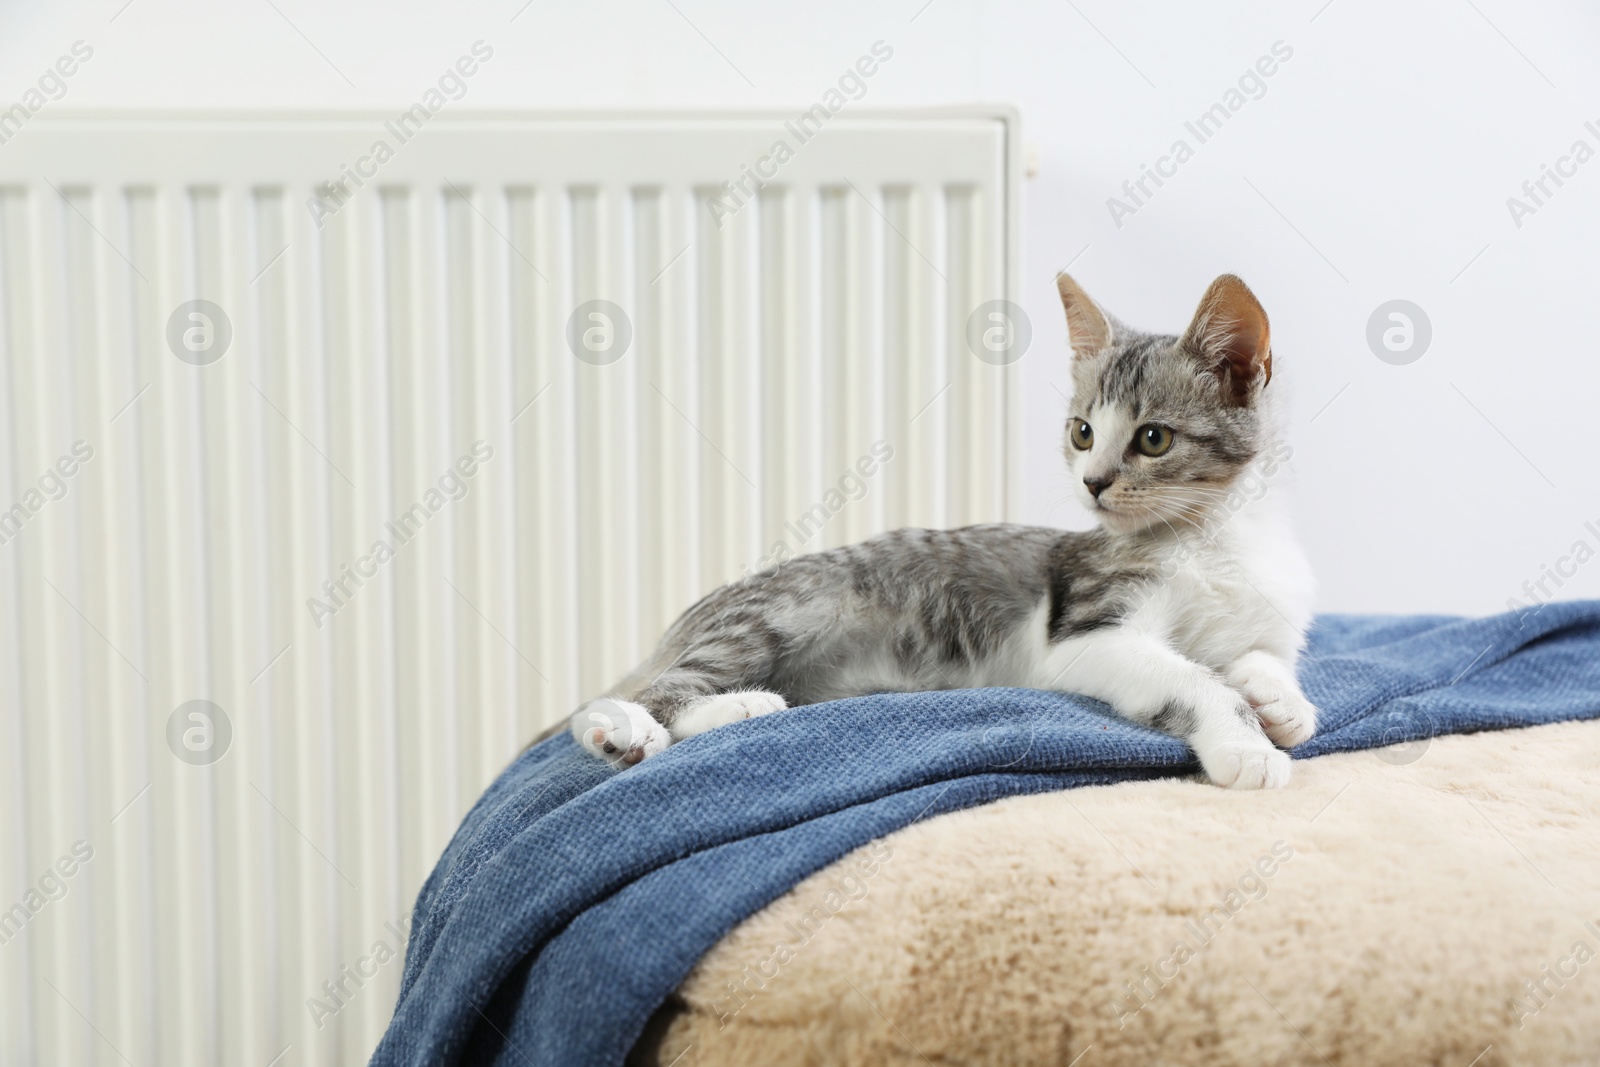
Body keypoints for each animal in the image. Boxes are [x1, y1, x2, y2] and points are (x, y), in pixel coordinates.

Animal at [572, 271, 1312, 790]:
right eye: (1082, 432)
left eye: (1153, 438)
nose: (1093, 483)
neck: (1215, 537)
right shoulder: (1086, 634)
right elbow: (1192, 678)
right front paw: (1245, 742)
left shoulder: (1268, 615)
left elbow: (1262, 655)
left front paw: (1281, 701)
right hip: (780, 612)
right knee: (651, 688)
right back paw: (703, 715)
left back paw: (631, 740)